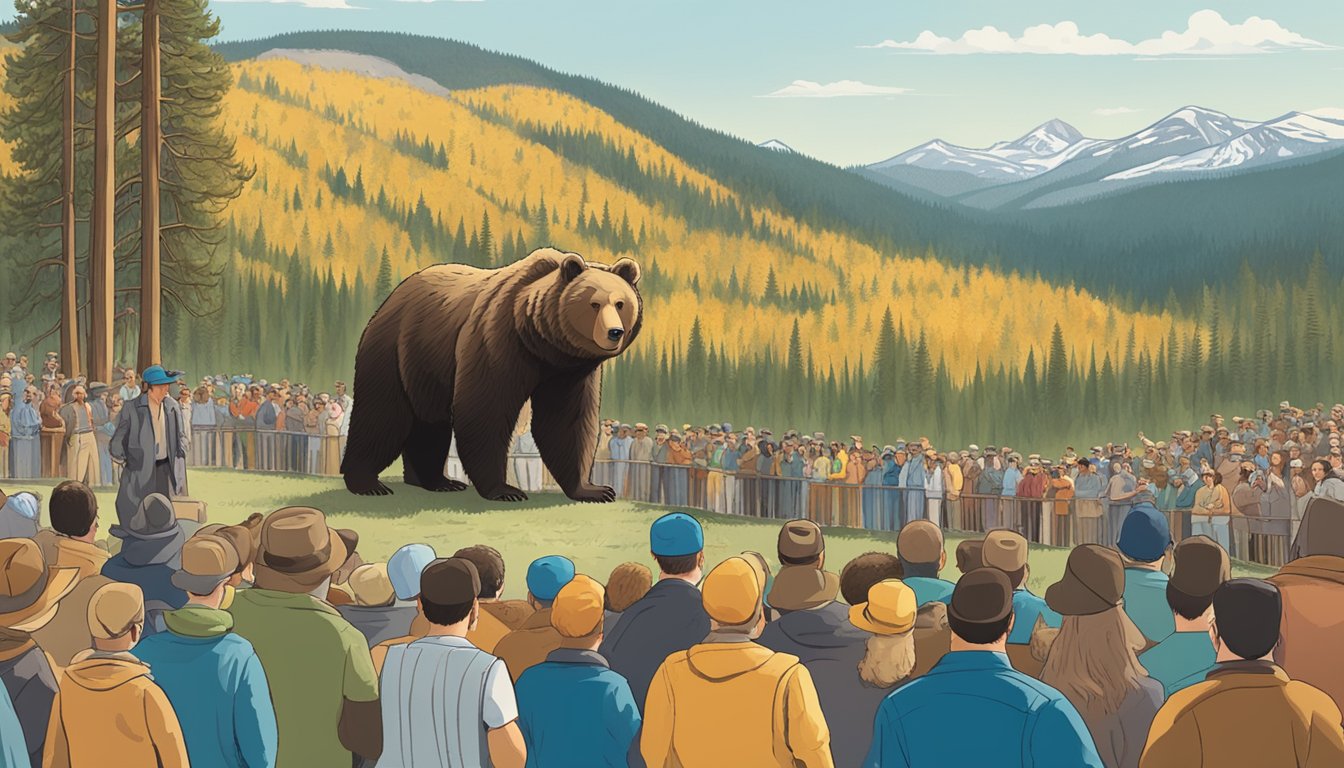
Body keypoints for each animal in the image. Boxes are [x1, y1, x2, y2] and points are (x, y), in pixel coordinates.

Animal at [344, 246, 642, 508]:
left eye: (620, 303)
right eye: (594, 303)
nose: (614, 332)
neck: (542, 343)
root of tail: (392, 297)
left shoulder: (570, 373)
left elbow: (567, 422)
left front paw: (594, 489)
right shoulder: (498, 341)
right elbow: (485, 410)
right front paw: (505, 490)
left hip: (425, 368)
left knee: (429, 421)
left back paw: (438, 481)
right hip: (394, 350)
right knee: (382, 415)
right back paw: (367, 483)